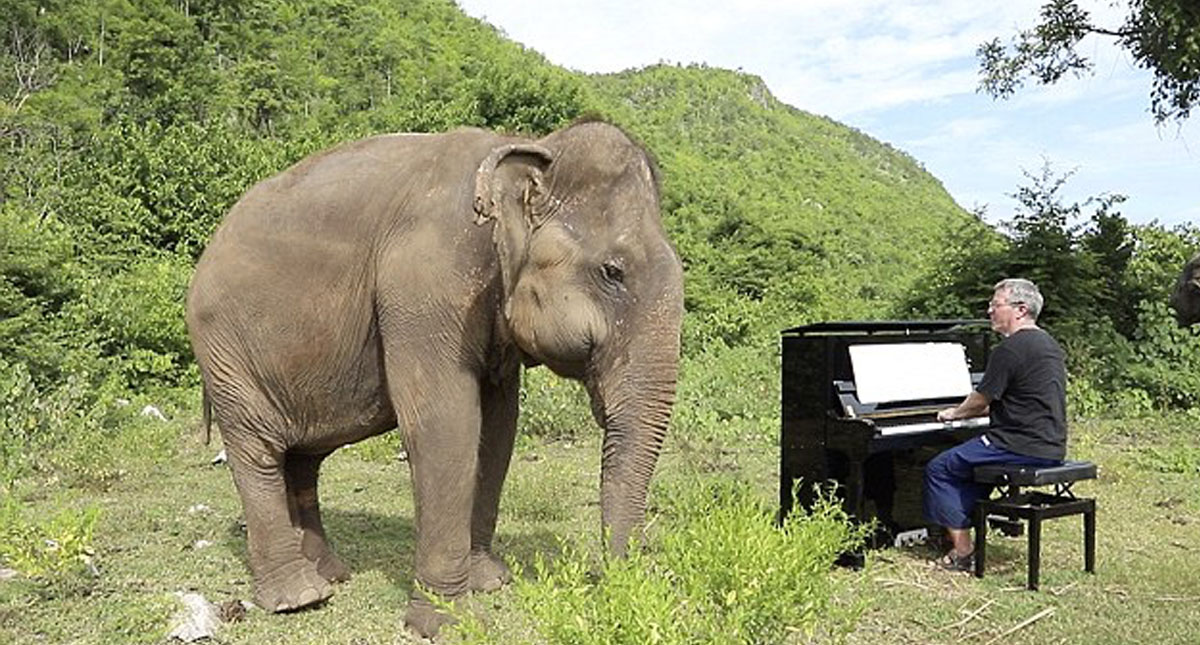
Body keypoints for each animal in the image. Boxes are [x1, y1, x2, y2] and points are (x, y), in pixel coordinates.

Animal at [185, 120, 684, 638]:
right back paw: (299, 597)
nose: (612, 579)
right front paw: (447, 622)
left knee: (303, 458)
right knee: (257, 452)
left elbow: (498, 429)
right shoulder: (424, 286)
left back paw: (331, 576)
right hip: (225, 352)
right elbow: (446, 424)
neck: (528, 147)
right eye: (613, 272)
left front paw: (489, 581)